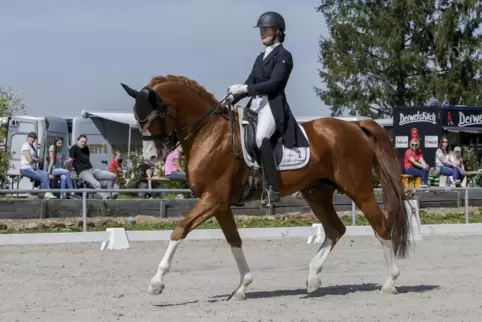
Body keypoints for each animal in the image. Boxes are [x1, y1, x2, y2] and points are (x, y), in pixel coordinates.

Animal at [121, 74, 410, 300]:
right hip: (317, 192)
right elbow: (234, 241)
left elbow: (179, 230)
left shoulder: (212, 199)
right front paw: (242, 286)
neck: (209, 133)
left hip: (358, 189)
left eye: (153, 117)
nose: (149, 159)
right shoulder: (219, 204)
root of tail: (355, 126)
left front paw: (156, 282)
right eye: (137, 119)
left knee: (381, 227)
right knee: (335, 230)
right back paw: (312, 279)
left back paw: (390, 282)